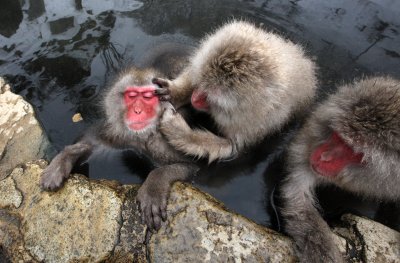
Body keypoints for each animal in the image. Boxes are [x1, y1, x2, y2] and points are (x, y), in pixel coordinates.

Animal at [39, 44, 199, 232]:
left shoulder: (168, 142)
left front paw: (153, 188)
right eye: (132, 96)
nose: (137, 111)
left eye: (148, 97)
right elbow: (91, 141)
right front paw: (65, 158)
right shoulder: (118, 134)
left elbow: (190, 167)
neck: (141, 137)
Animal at [152, 20, 318, 164]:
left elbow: (232, 148)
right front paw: (176, 92)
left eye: (208, 96)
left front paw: (180, 131)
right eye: (202, 86)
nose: (194, 98)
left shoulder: (256, 125)